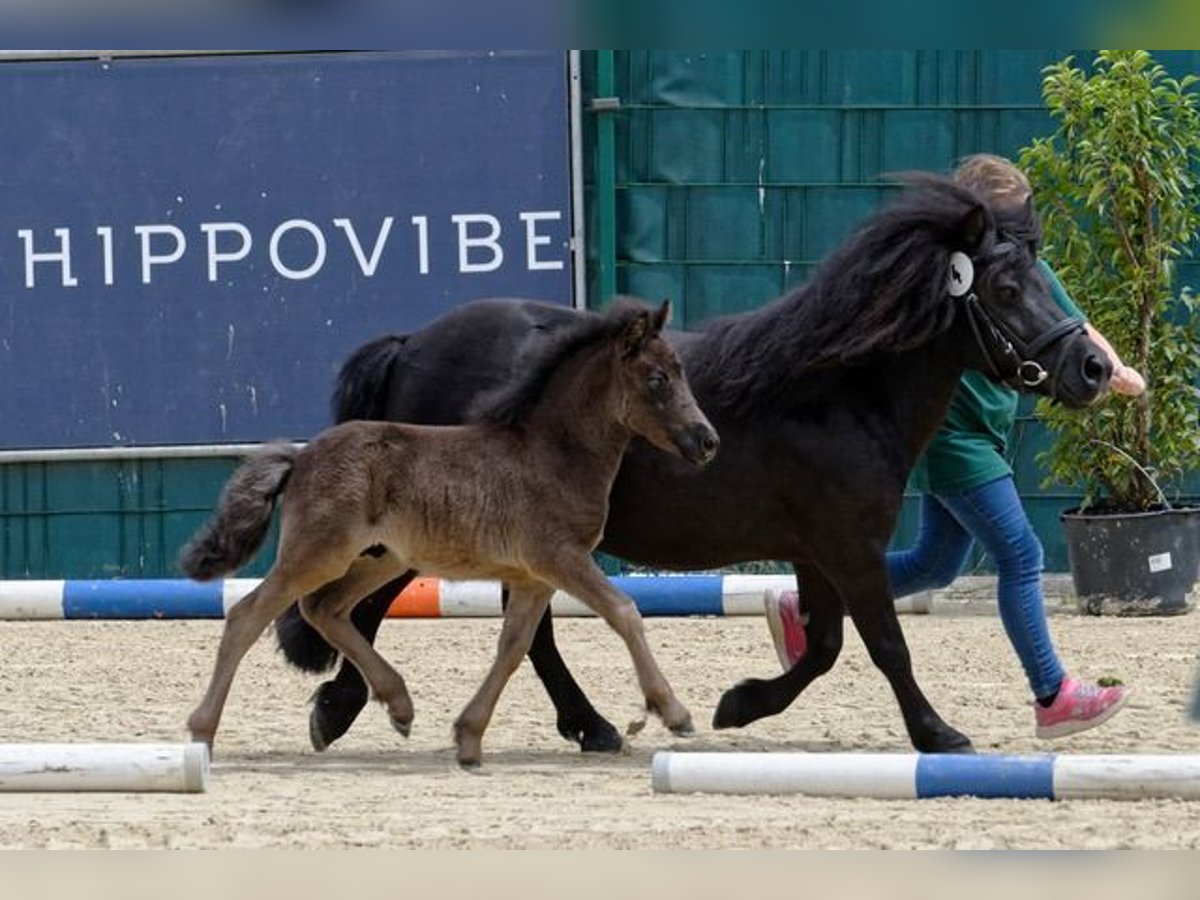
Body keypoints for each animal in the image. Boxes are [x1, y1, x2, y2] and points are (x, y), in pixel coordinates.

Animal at [181, 300, 715, 763]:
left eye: (682, 373)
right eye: (658, 378)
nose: (707, 441)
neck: (553, 454)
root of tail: (300, 457)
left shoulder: (533, 576)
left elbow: (514, 646)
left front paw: (469, 736)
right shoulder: (560, 557)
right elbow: (624, 612)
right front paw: (674, 713)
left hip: (382, 558)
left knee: (326, 608)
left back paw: (398, 705)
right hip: (318, 553)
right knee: (248, 615)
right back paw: (202, 732)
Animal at [276, 176, 1108, 753]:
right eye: (1008, 286)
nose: (1095, 369)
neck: (835, 391)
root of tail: (411, 344)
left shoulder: (816, 549)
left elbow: (826, 646)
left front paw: (739, 704)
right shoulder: (850, 546)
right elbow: (885, 645)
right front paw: (937, 733)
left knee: (510, 628)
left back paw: (586, 725)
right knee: (372, 606)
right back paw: (345, 708)